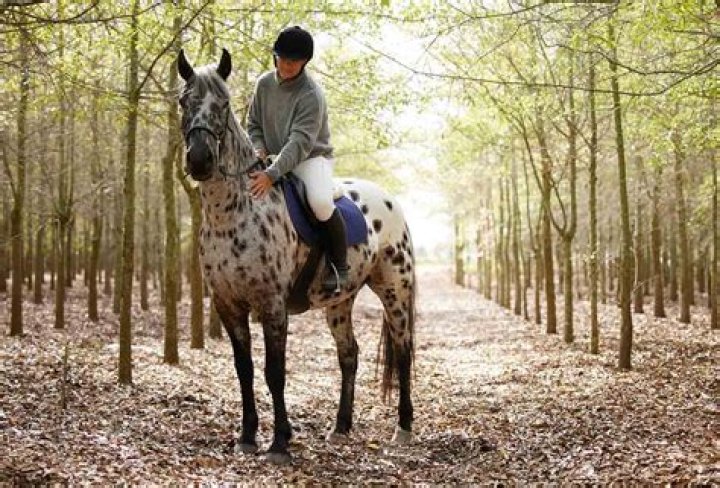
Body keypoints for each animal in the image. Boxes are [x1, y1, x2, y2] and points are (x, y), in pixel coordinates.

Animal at [177, 48, 416, 464]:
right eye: (182, 101)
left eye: (223, 104)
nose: (200, 161)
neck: (233, 213)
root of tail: (390, 200)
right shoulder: (228, 304)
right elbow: (245, 369)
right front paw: (247, 437)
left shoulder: (273, 305)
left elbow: (275, 372)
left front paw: (279, 443)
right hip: (340, 302)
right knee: (348, 354)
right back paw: (341, 427)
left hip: (395, 292)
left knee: (402, 351)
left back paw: (402, 428)